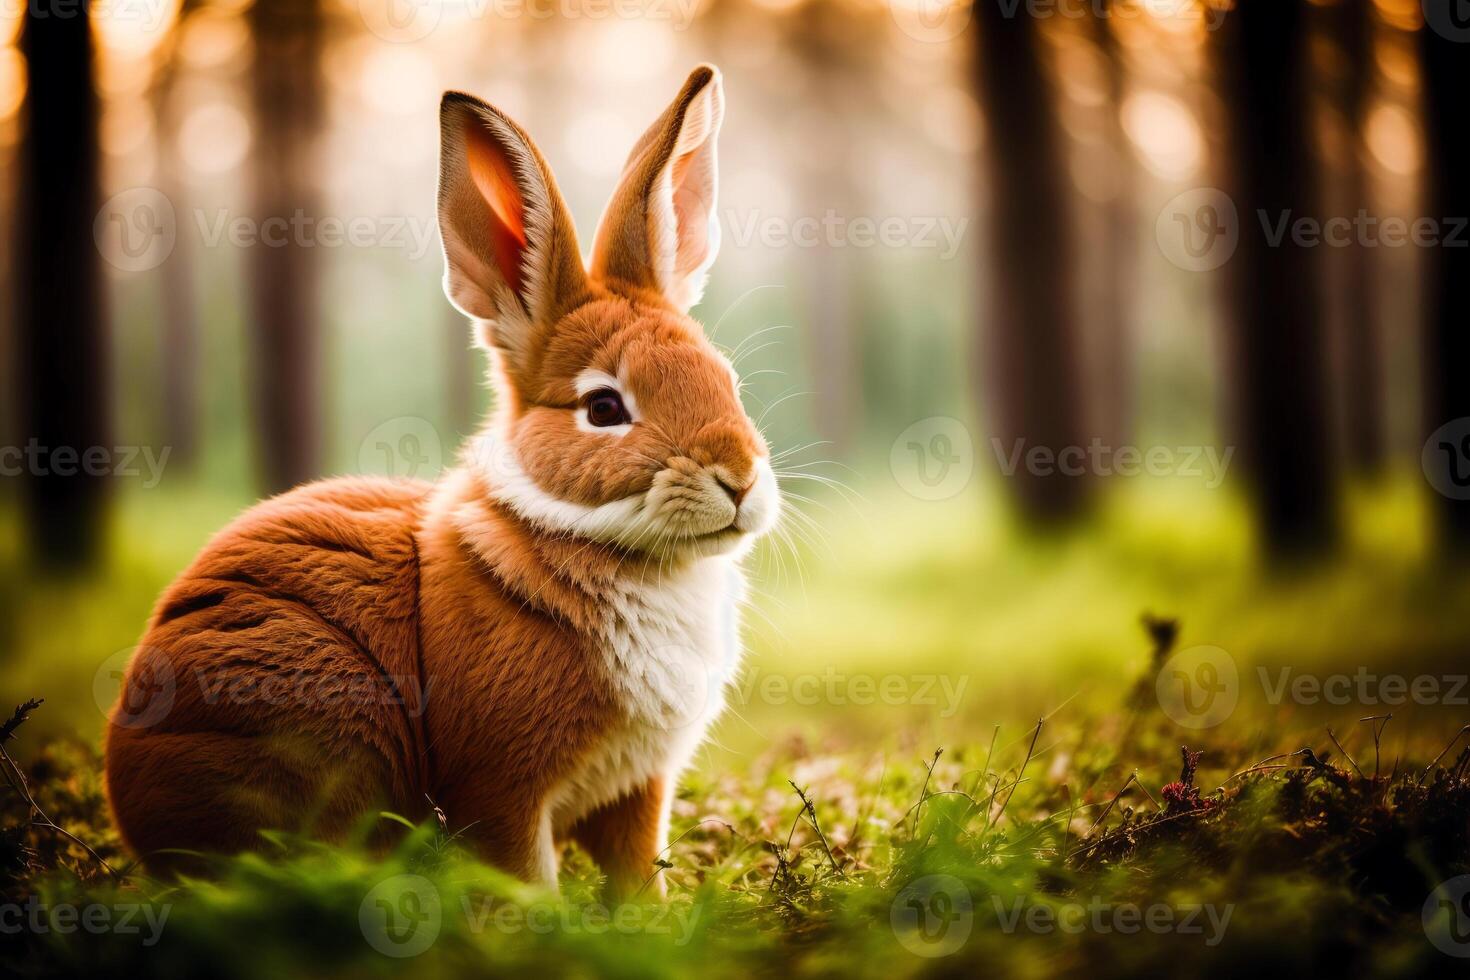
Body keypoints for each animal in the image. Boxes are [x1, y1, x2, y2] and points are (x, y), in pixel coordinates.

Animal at [103, 65, 782, 899]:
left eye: (728, 381)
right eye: (603, 408)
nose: (739, 480)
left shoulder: (636, 790)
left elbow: (634, 869)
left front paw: (651, 917)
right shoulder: (502, 787)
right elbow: (523, 868)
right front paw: (540, 921)